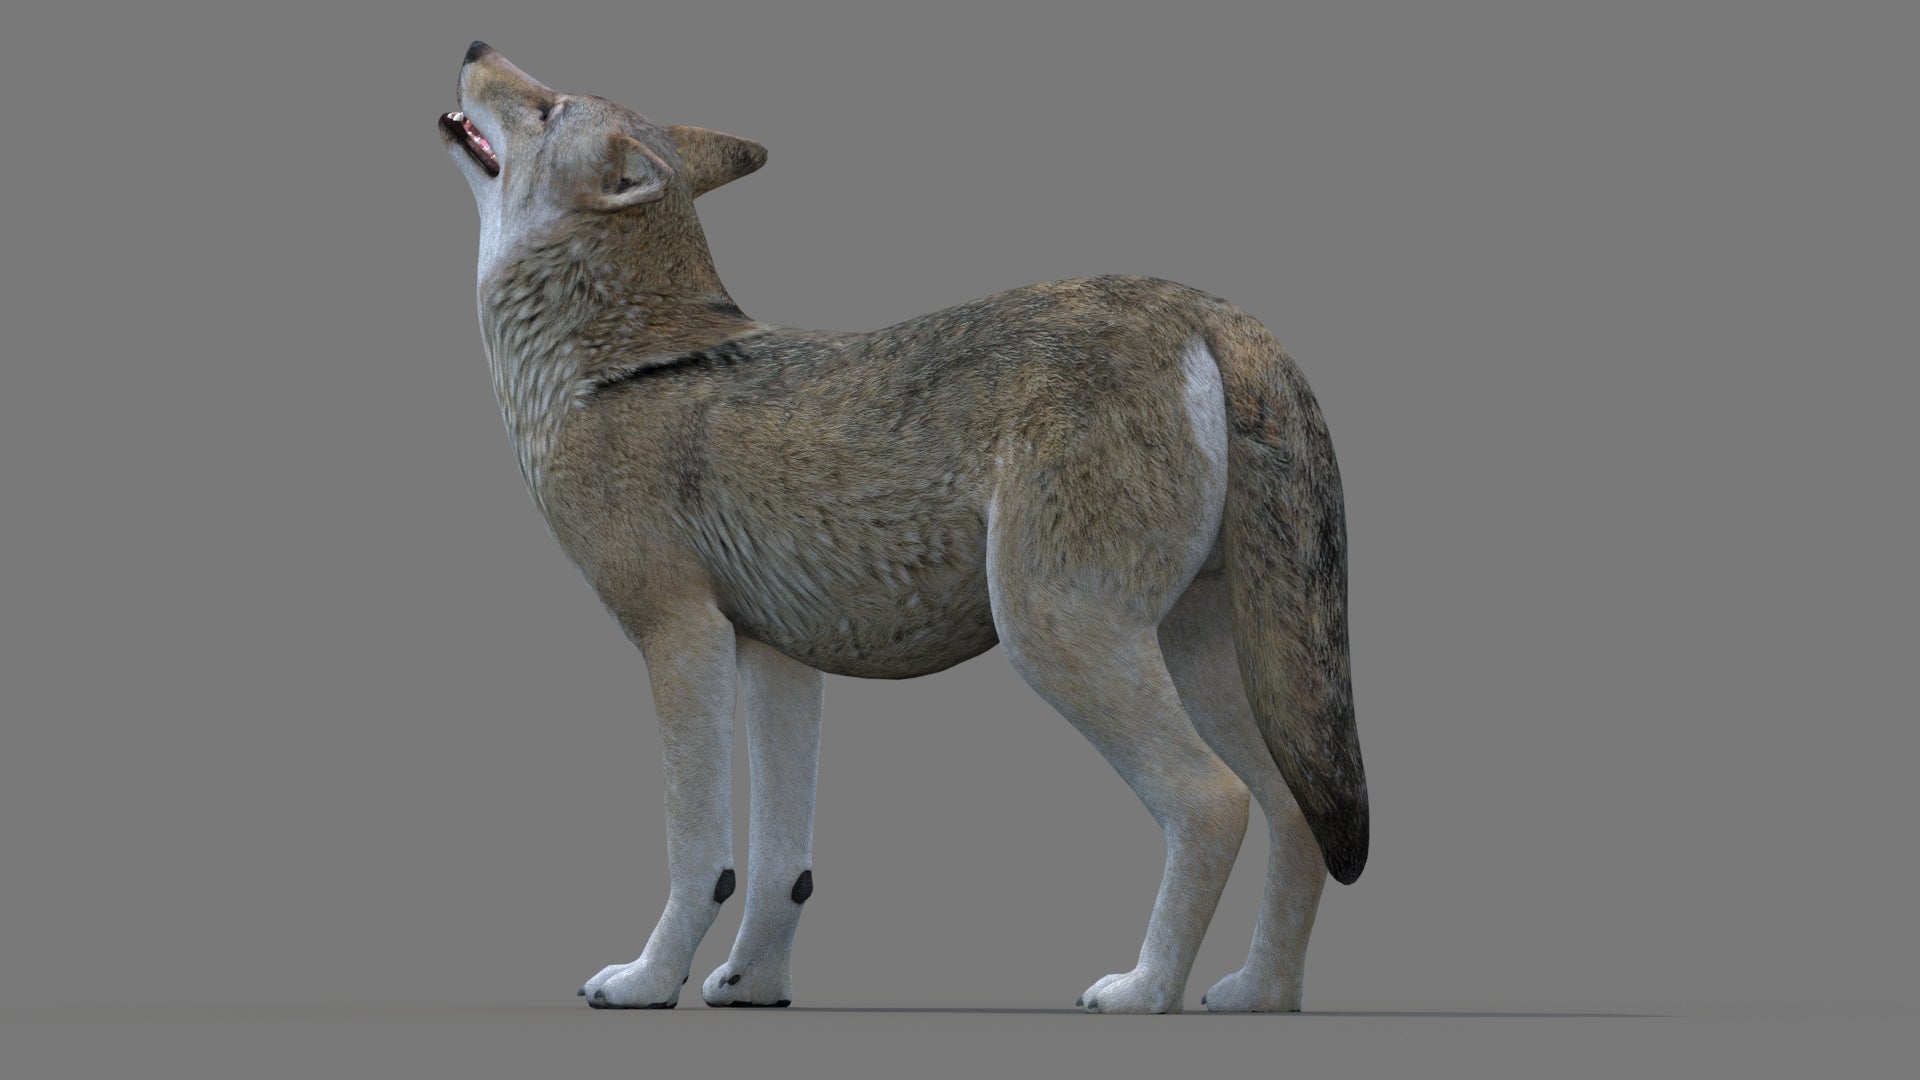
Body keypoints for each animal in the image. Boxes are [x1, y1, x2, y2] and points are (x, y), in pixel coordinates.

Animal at [438, 41, 1367, 1014]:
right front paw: (753, 985)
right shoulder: (778, 657)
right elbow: (782, 867)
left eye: (548, 107)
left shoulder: (678, 636)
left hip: (1055, 637)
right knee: (1295, 811)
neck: (608, 366)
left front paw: (650, 980)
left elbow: (701, 857)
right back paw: (1259, 993)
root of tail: (1209, 310)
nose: (474, 46)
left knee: (1213, 802)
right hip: (1201, 662)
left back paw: (1145, 991)